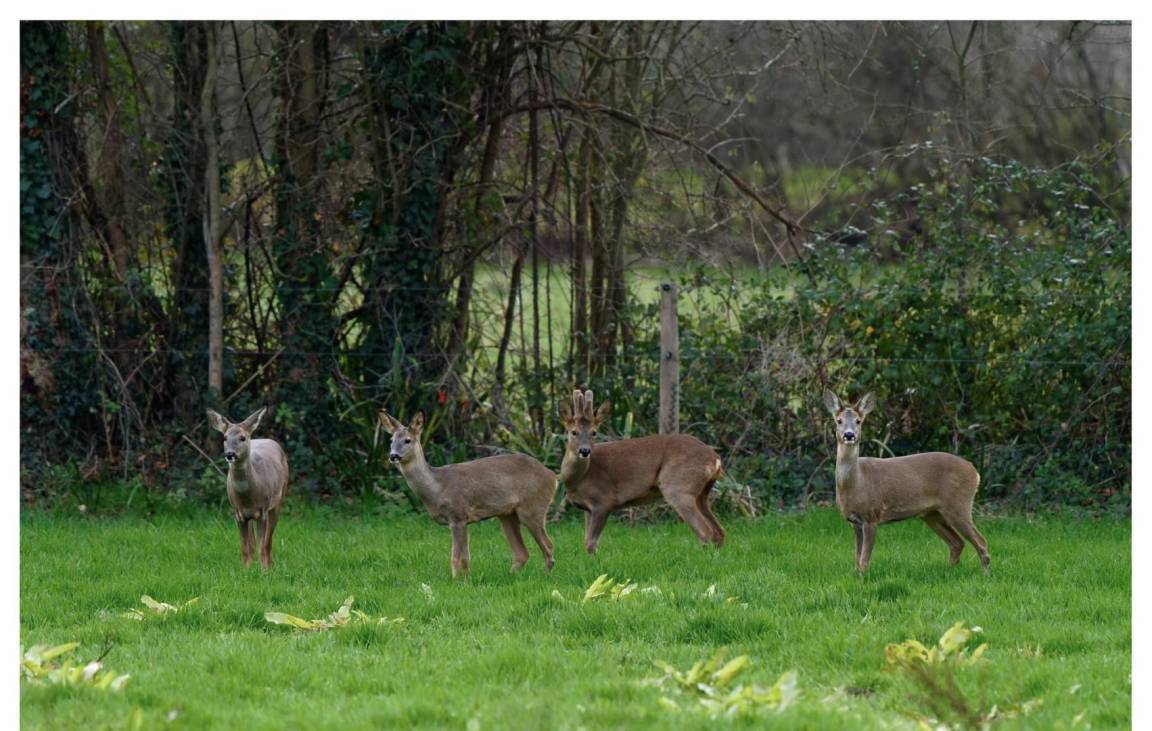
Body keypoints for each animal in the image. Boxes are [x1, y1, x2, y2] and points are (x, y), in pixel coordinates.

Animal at [206, 407, 289, 568]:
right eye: (224, 438)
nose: (230, 454)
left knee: (268, 541)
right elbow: (245, 547)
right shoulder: (238, 513)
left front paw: (264, 570)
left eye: (242, 438)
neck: (248, 498)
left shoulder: (263, 510)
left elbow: (262, 546)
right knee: (252, 543)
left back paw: (270, 564)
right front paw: (247, 569)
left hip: (278, 501)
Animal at [379, 410, 557, 579]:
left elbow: (457, 557)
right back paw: (511, 576)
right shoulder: (460, 521)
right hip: (507, 514)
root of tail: (553, 477)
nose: (393, 456)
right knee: (522, 553)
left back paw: (546, 576)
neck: (437, 487)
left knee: (548, 545)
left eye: (407, 440)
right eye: (391, 440)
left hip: (532, 507)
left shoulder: (458, 515)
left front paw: (457, 581)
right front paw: (465, 579)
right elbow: (463, 556)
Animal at [558, 389, 725, 554]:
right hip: (702, 494)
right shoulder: (588, 509)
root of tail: (715, 458)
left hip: (679, 487)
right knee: (719, 531)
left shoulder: (603, 501)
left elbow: (591, 543)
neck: (578, 479)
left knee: (705, 531)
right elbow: (586, 540)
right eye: (573, 432)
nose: (585, 451)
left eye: (594, 432)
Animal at [823, 390, 990, 575]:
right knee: (957, 542)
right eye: (839, 420)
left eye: (859, 421)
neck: (856, 482)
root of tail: (975, 472)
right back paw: (948, 571)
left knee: (981, 541)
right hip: (932, 513)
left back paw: (986, 575)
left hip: (958, 504)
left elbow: (864, 559)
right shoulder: (854, 522)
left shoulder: (872, 516)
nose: (849, 435)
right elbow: (857, 559)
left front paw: (863, 577)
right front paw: (857, 575)